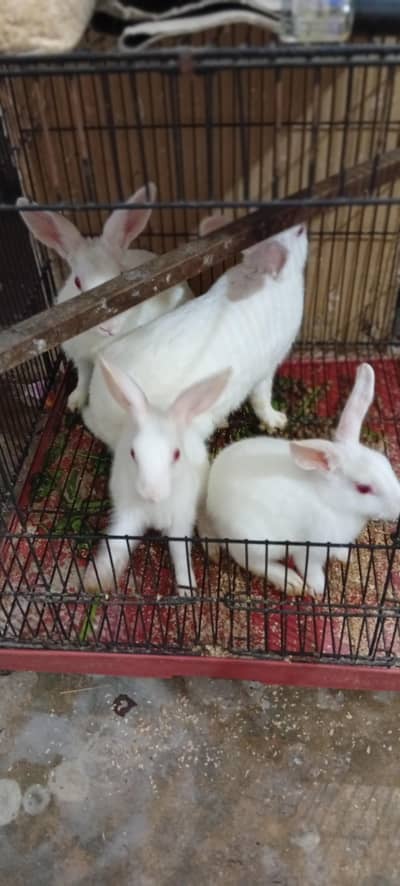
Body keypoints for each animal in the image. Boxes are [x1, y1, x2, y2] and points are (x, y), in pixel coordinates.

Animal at [17, 185, 193, 412]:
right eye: (77, 282)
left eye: (121, 275)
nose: (108, 327)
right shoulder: (80, 358)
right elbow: (84, 378)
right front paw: (74, 402)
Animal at [82, 221, 308, 450]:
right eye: (298, 232)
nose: (303, 225)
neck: (259, 274)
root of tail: (98, 397)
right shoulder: (267, 370)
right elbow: (262, 398)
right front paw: (277, 420)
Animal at [84, 358, 231, 597]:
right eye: (133, 453)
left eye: (177, 454)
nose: (151, 494)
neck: (155, 508)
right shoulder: (129, 515)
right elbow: (116, 545)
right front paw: (94, 580)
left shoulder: (181, 519)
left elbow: (180, 553)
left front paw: (187, 589)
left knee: (203, 513)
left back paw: (212, 546)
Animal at [198, 363, 400, 598]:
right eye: (363, 488)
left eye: (386, 463)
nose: (398, 508)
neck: (332, 502)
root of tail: (210, 498)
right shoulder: (309, 549)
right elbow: (310, 568)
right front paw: (318, 589)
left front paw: (344, 557)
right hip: (255, 542)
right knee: (251, 562)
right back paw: (290, 581)